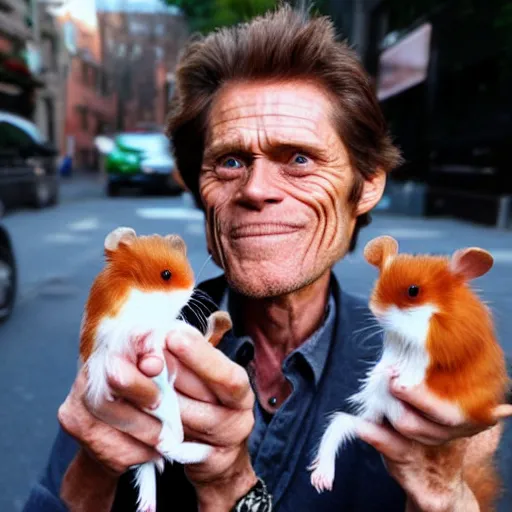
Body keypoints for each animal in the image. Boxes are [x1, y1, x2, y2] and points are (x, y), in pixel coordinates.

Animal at [310, 235, 510, 508]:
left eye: (413, 291)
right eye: (378, 284)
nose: (377, 310)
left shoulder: (440, 343)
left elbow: (420, 365)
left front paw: (397, 377)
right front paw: (386, 372)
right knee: (339, 423)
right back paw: (322, 479)